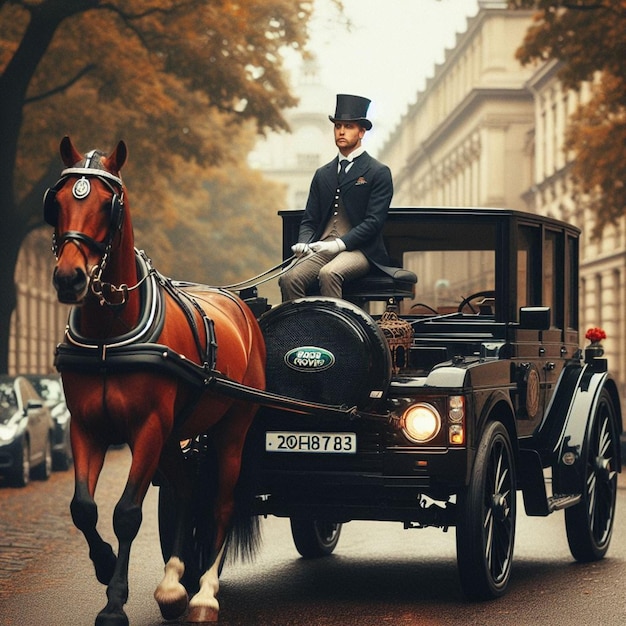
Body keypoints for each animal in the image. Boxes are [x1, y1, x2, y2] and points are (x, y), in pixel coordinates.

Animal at [45, 138, 264, 624]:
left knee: (221, 502)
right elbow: (83, 509)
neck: (109, 338)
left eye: (108, 205)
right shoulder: (86, 427)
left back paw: (204, 594)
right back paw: (173, 584)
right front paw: (105, 564)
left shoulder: (146, 428)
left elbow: (127, 513)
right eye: (58, 200)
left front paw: (114, 604)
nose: (69, 278)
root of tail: (241, 306)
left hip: (232, 428)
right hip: (172, 435)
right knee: (187, 489)